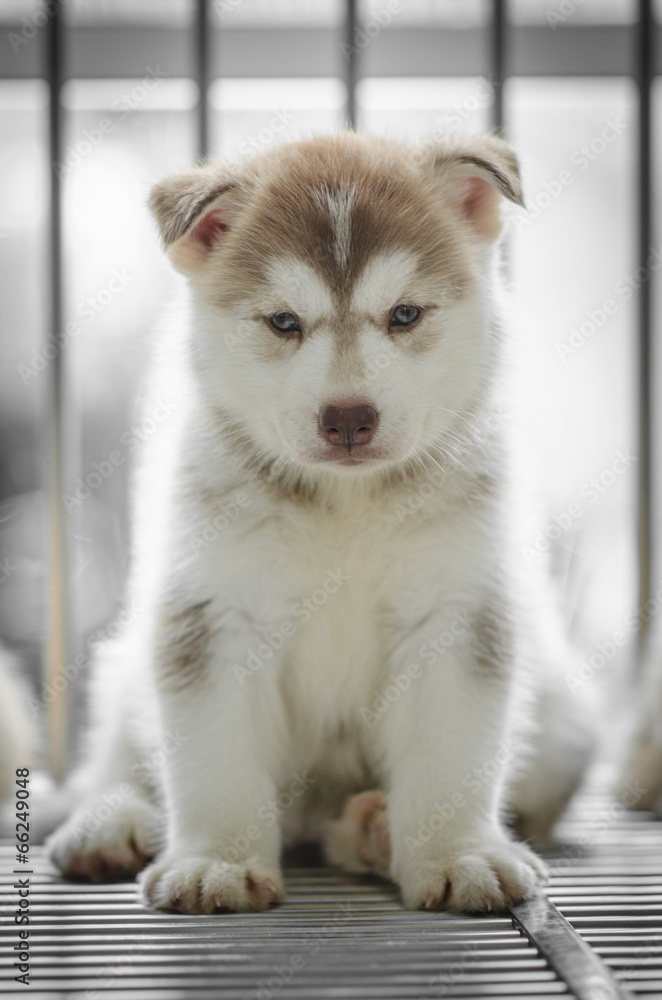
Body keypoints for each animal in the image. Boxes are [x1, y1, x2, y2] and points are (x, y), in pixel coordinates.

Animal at [48, 133, 596, 916]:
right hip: (125, 671)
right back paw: (108, 821)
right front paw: (217, 861)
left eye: (405, 314)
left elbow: (451, 752)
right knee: (117, 762)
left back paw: (369, 831)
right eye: (283, 322)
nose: (347, 418)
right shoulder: (214, 612)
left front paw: (455, 853)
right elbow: (214, 758)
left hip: (564, 720)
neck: (348, 503)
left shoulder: (456, 611)